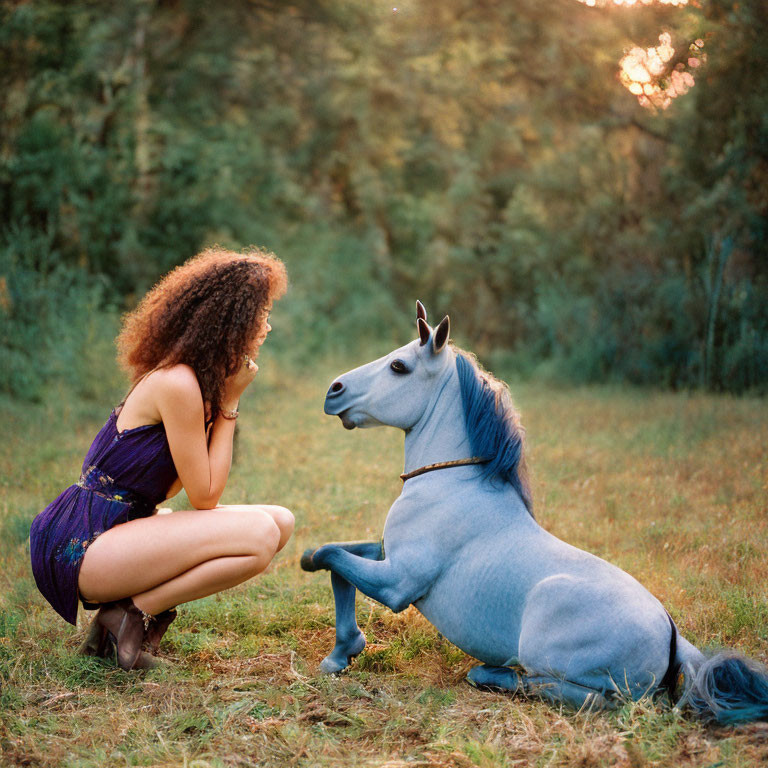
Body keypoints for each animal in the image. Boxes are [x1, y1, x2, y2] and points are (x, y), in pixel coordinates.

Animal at [304, 304, 768, 724]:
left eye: (399, 366)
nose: (334, 390)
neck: (452, 483)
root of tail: (673, 635)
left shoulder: (399, 583)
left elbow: (330, 557)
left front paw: (344, 648)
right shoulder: (387, 555)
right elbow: (328, 558)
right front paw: (340, 655)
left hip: (573, 668)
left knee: (585, 696)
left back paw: (494, 674)